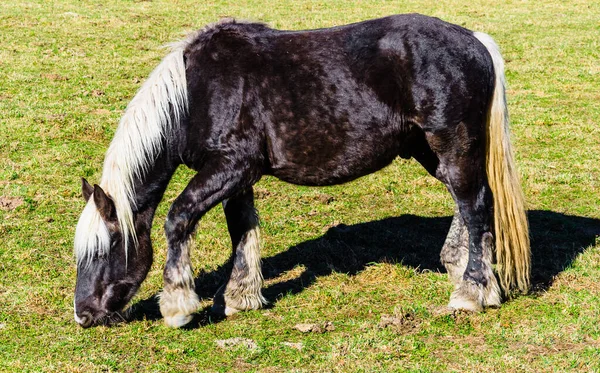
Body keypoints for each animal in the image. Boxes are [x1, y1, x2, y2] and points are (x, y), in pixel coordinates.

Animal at [71, 15, 528, 328]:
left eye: (105, 249)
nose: (83, 314)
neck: (196, 93)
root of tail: (475, 41)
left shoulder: (229, 168)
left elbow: (178, 218)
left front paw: (178, 305)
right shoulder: (238, 178)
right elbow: (242, 230)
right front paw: (239, 297)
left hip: (451, 145)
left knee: (474, 204)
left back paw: (470, 293)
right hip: (431, 152)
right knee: (468, 201)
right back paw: (469, 275)